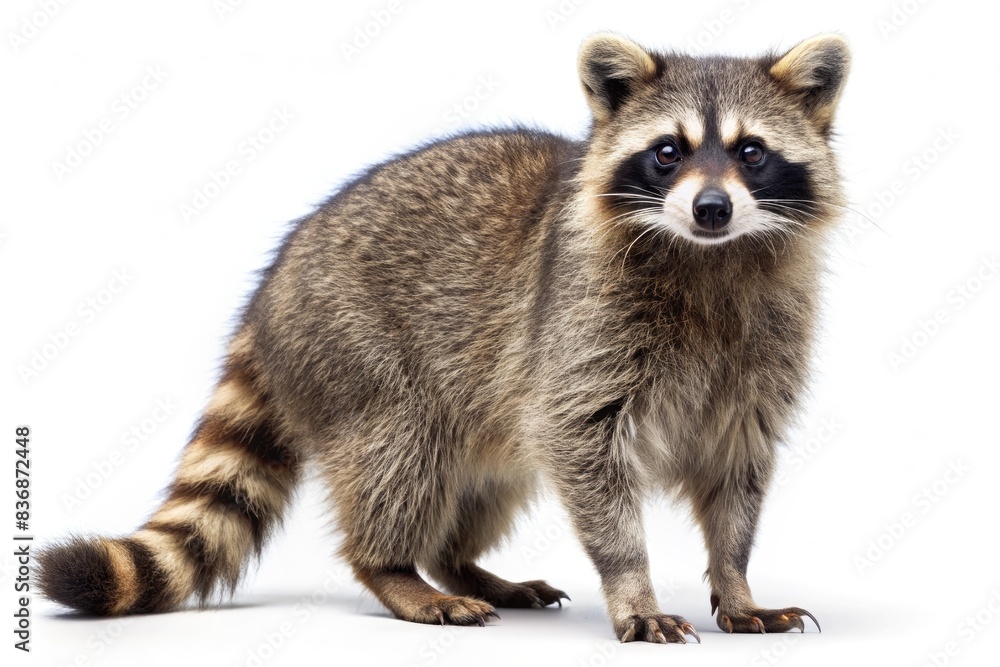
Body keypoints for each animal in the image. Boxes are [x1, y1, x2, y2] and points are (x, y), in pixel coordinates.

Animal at [39, 33, 850, 643]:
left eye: (750, 152)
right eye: (668, 152)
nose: (712, 208)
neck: (710, 257)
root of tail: (272, 285)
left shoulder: (762, 353)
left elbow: (737, 472)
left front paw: (736, 581)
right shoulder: (582, 329)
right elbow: (583, 447)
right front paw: (633, 586)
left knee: (486, 482)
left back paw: (459, 562)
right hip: (356, 350)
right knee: (400, 454)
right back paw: (394, 568)